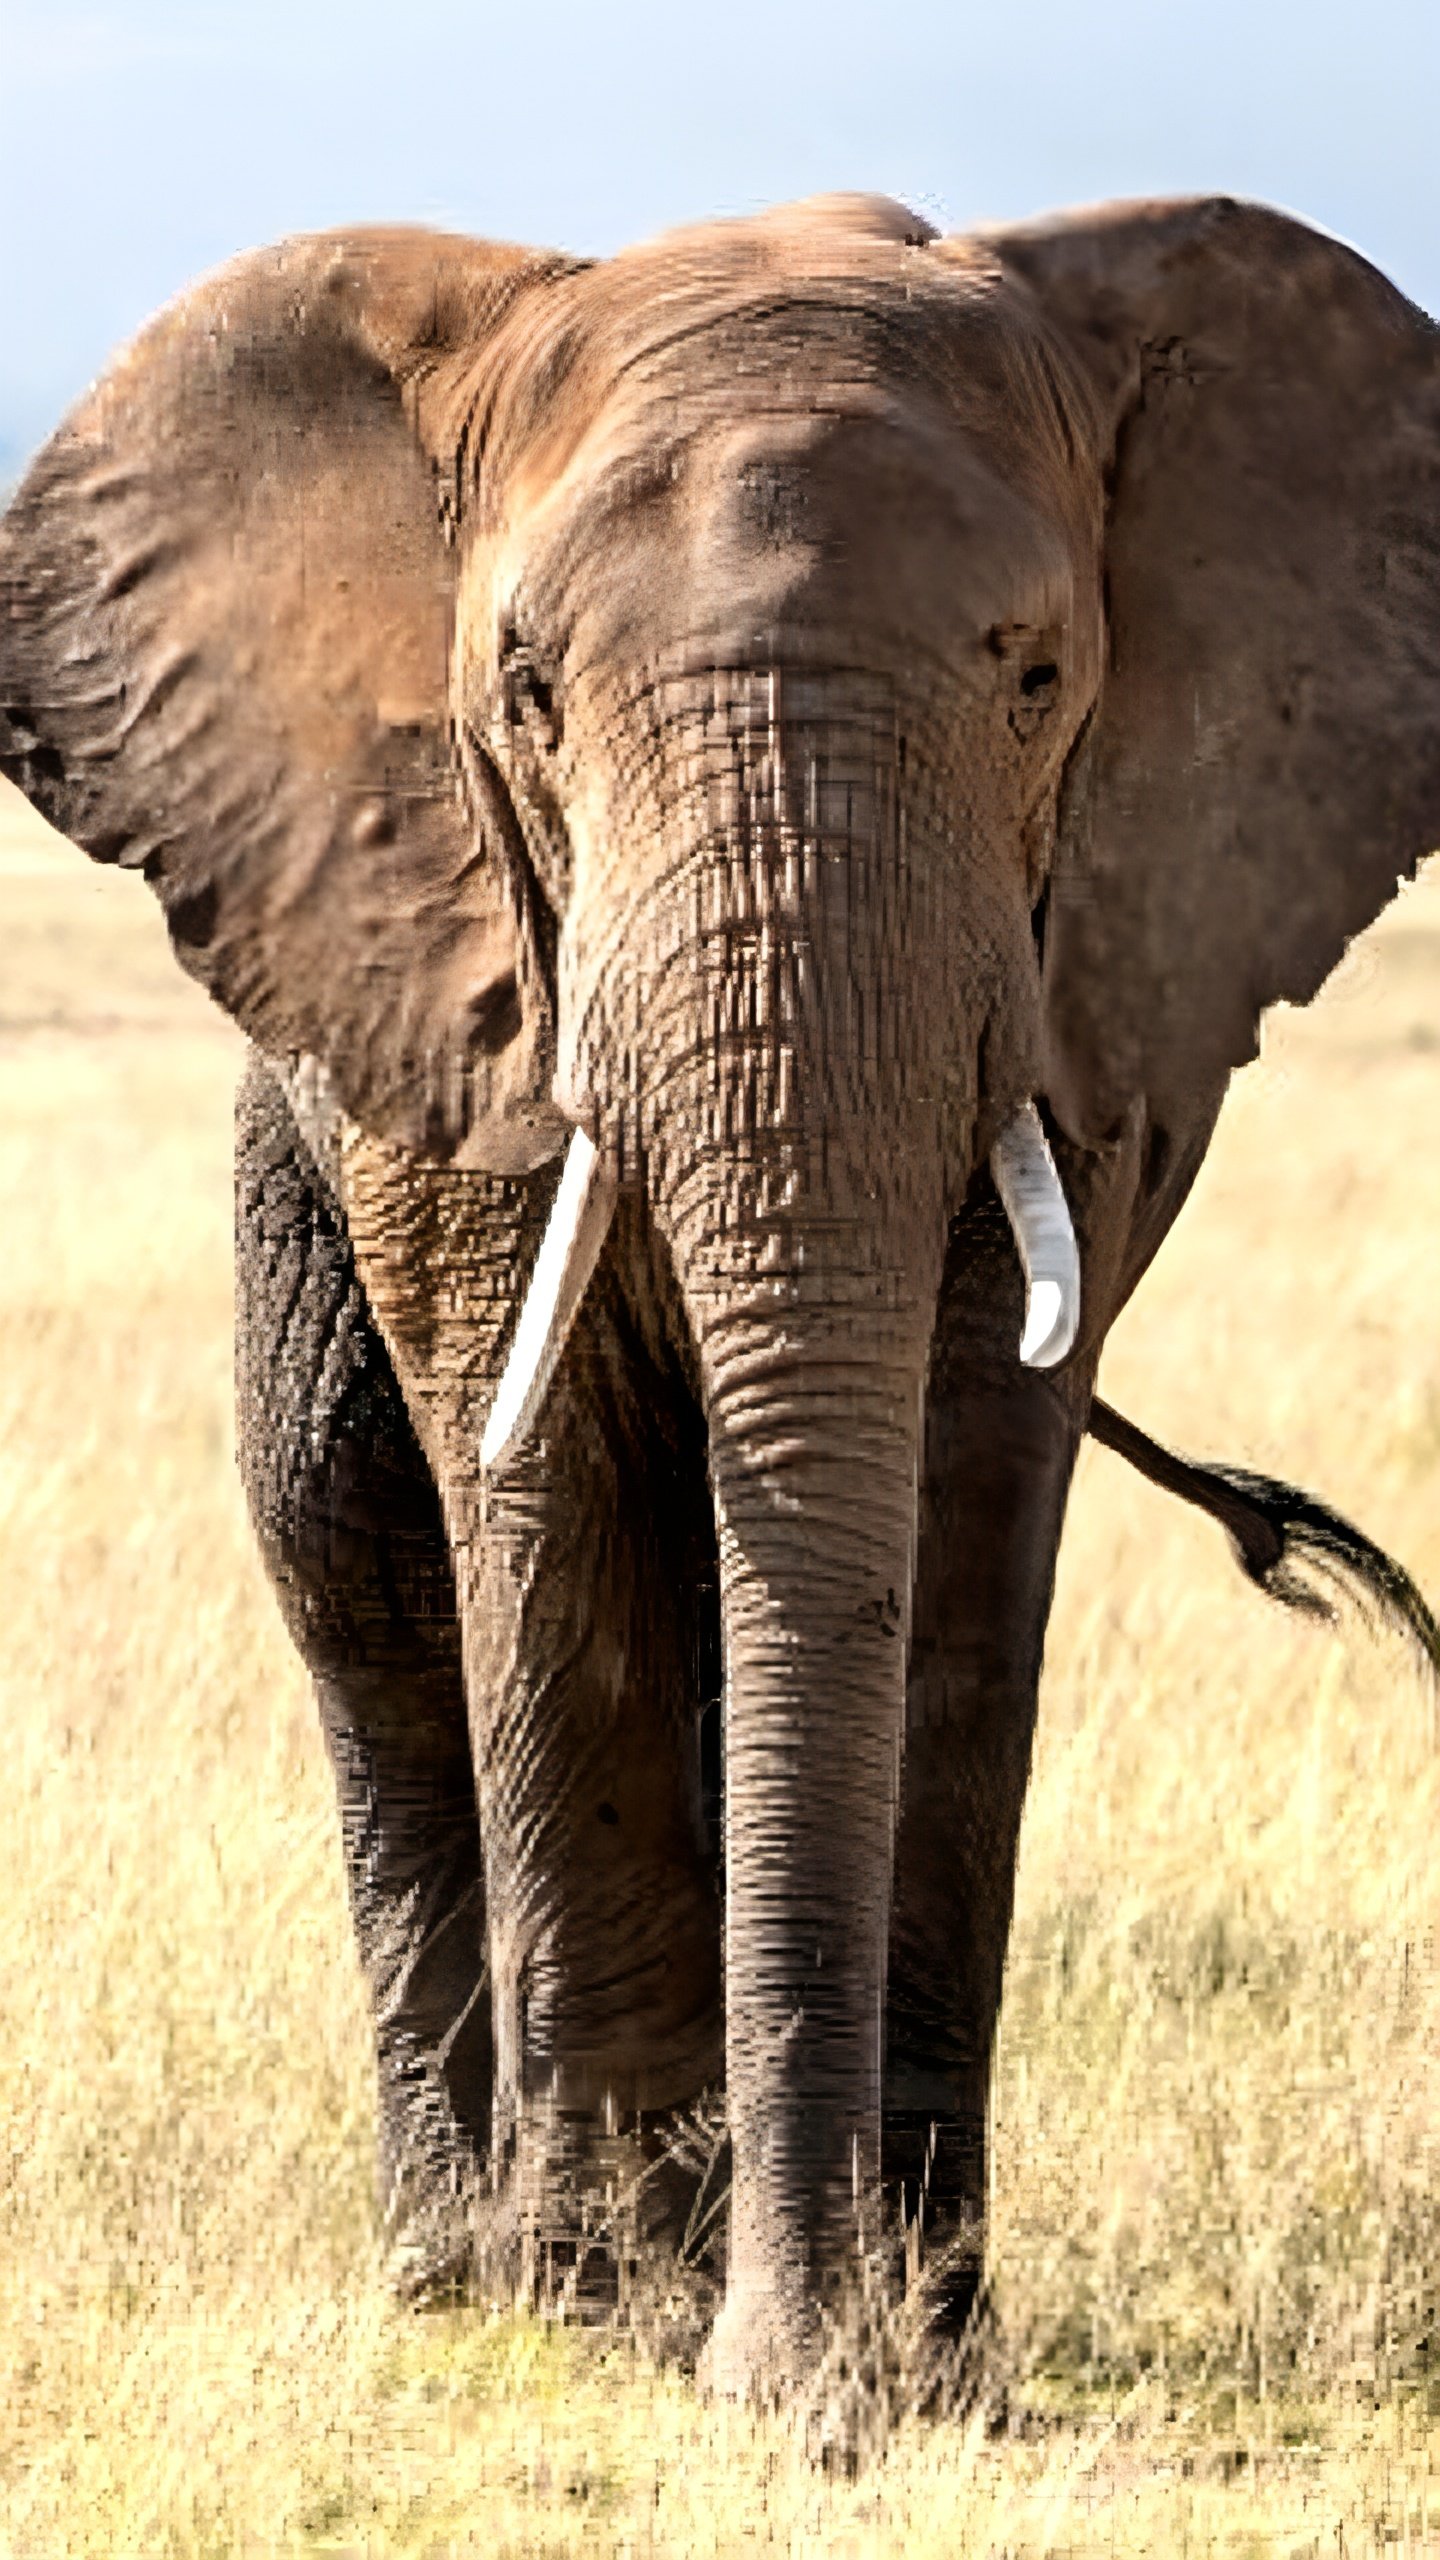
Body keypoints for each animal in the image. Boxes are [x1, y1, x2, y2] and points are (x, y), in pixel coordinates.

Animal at [2, 185, 1434, 2396]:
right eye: (524, 694)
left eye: (1038, 675)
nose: (803, 2377)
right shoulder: (464, 959)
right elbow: (542, 1480)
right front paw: (622, 2323)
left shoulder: (1088, 966)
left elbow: (966, 1495)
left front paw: (919, 2350)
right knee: (359, 1567)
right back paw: (465, 2263)